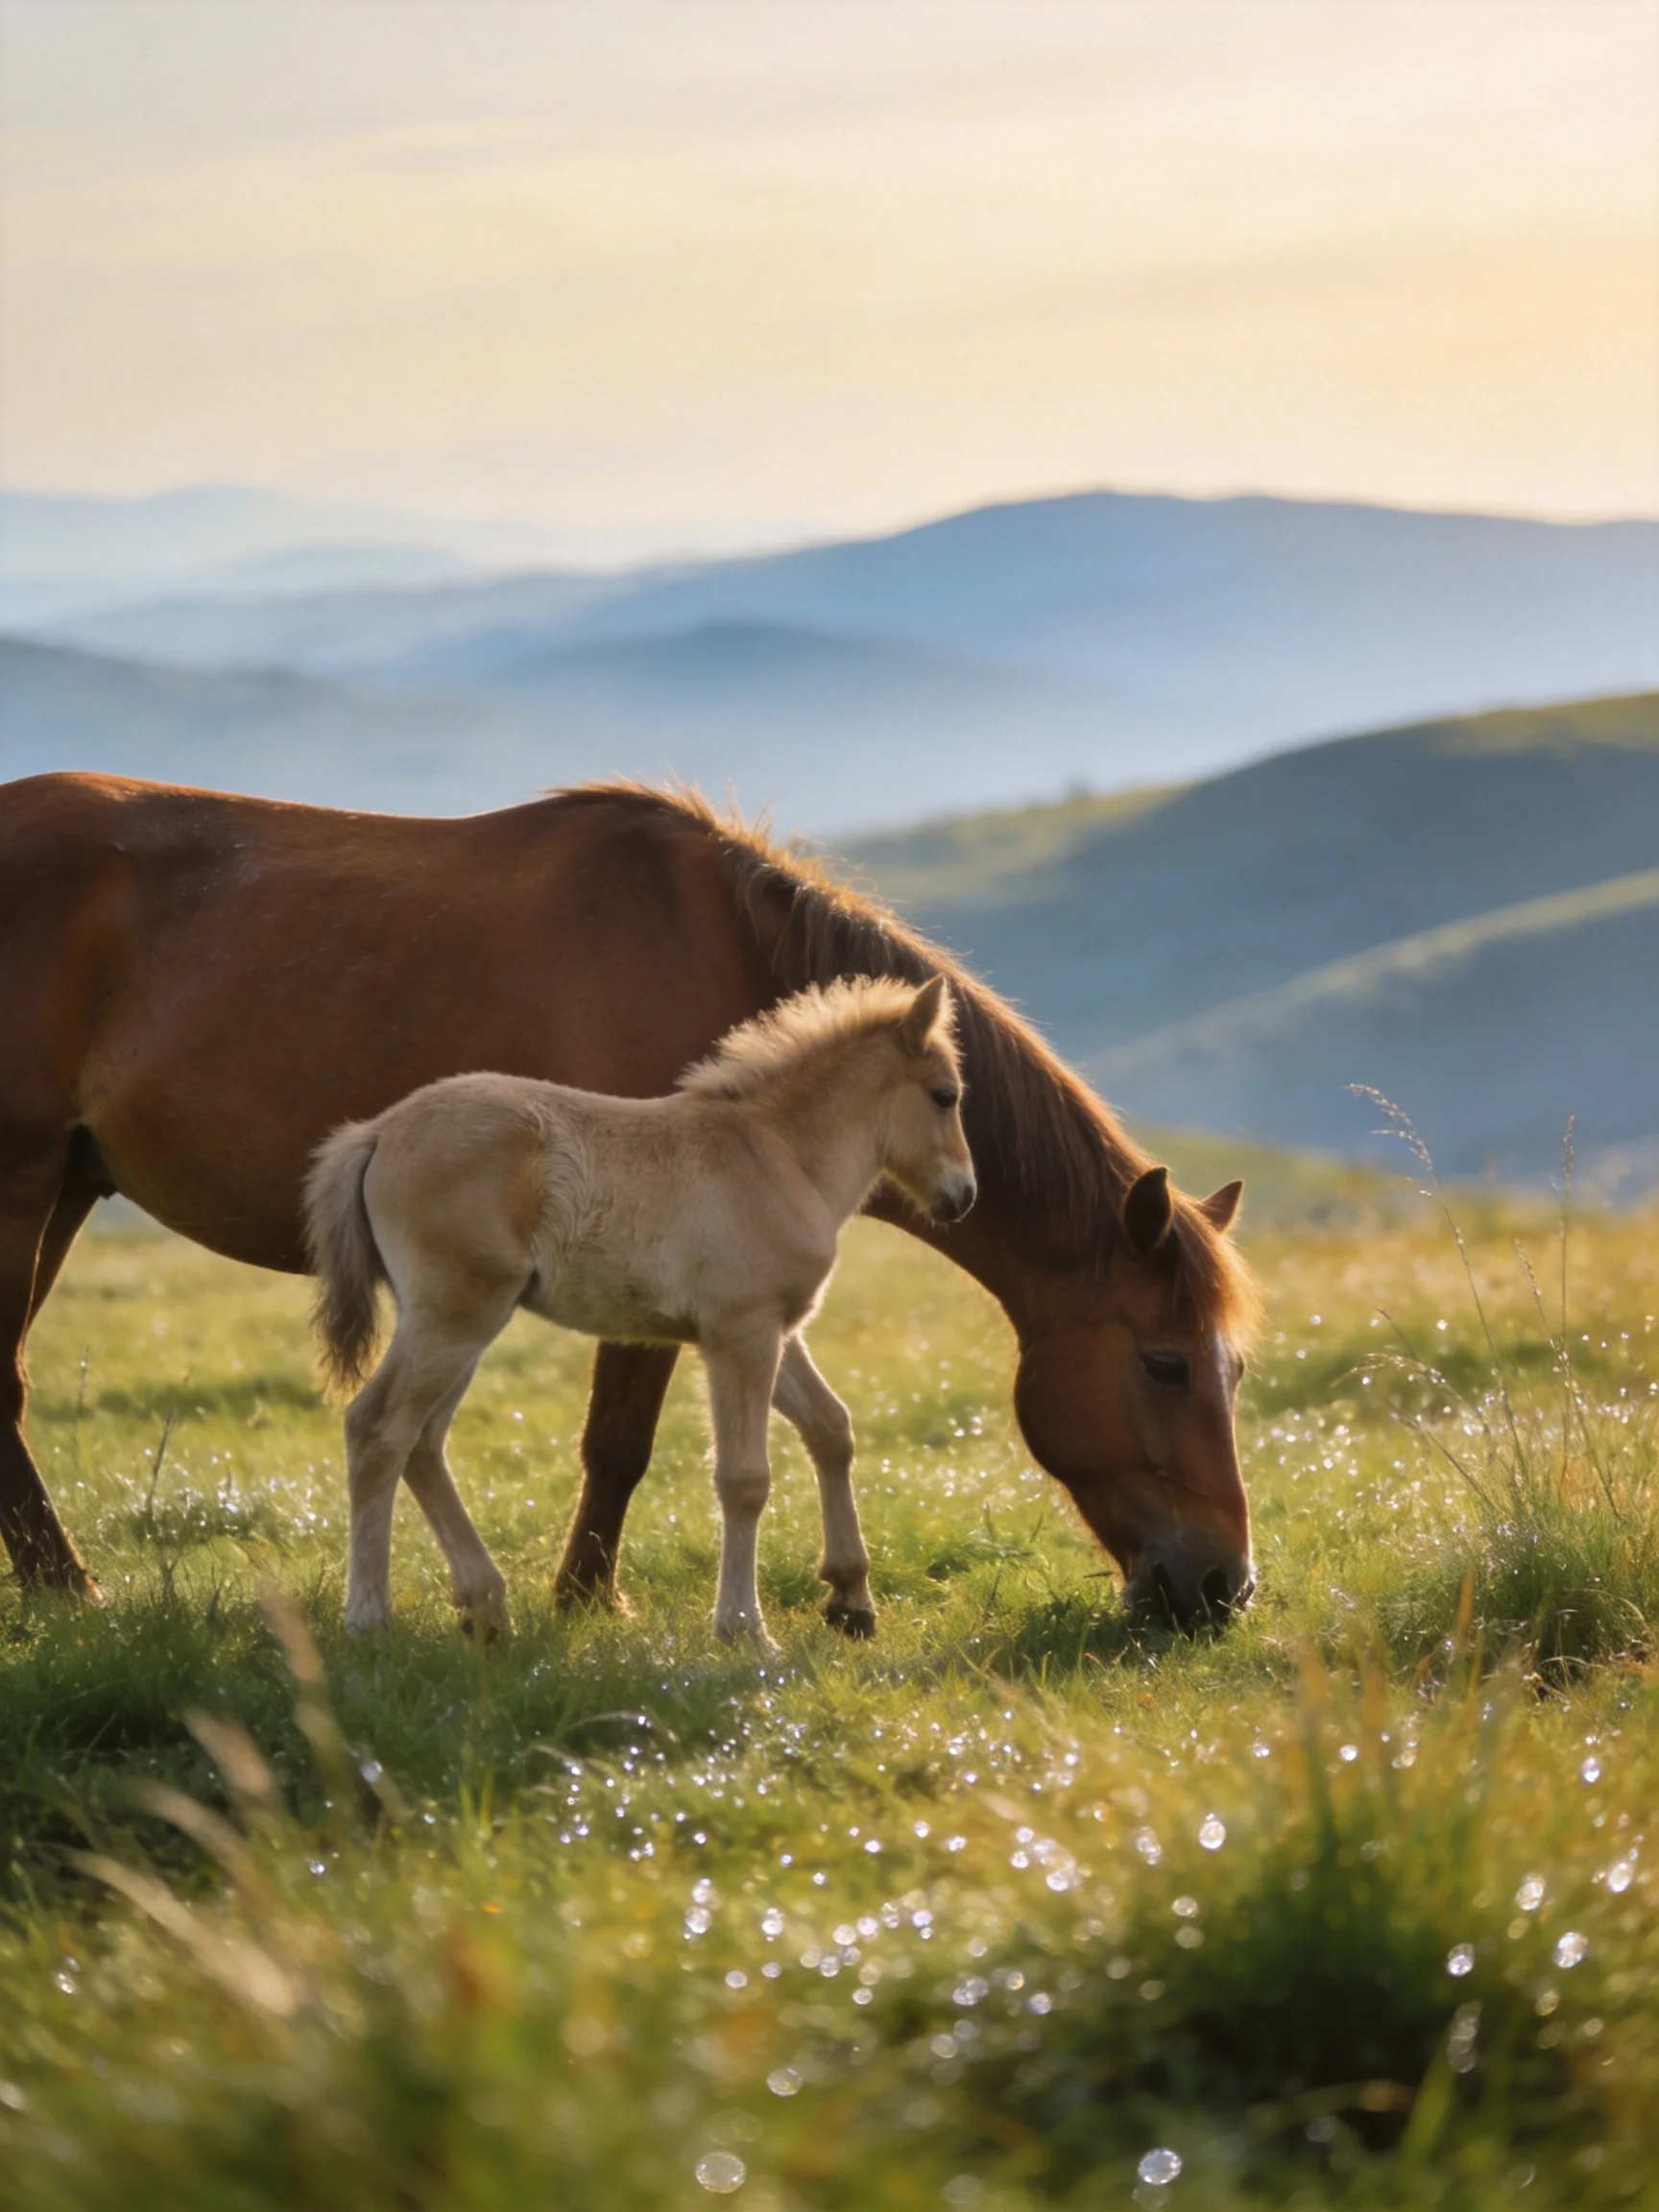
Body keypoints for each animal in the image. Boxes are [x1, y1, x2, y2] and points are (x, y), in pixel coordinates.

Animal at [304, 975, 974, 1642]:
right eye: (945, 1096)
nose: (962, 1196)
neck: (778, 1157)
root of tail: (377, 1132)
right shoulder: (743, 1333)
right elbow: (744, 1478)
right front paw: (743, 1627)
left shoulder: (769, 1331)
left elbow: (831, 1428)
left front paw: (851, 1600)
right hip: (453, 1319)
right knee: (379, 1427)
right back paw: (370, 1616)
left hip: (457, 1323)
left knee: (422, 1442)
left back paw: (487, 1607)